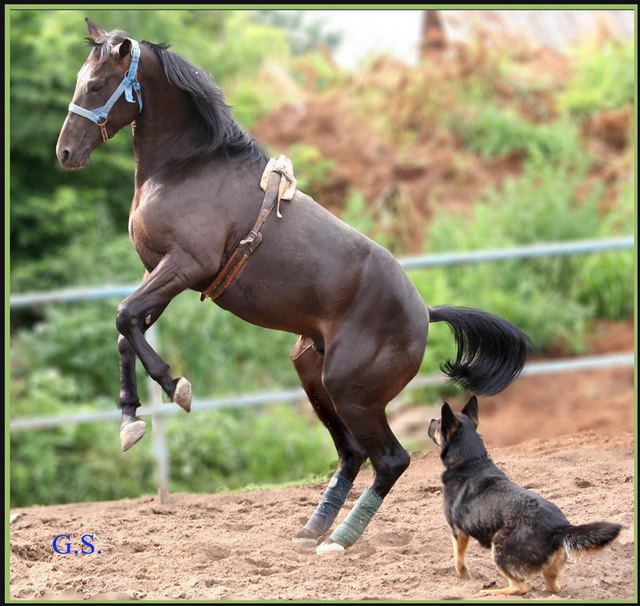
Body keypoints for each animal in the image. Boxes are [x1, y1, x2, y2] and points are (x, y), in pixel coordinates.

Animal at [56, 21, 528, 556]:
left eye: (96, 86)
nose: (66, 152)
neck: (188, 166)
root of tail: (423, 311)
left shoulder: (184, 266)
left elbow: (124, 317)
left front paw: (177, 387)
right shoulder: (158, 273)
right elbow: (126, 327)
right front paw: (131, 421)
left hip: (351, 389)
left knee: (389, 459)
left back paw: (339, 538)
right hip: (313, 375)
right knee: (351, 453)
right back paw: (313, 528)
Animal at [428, 400, 624, 600]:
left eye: (438, 423)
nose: (431, 420)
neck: (471, 459)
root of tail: (559, 528)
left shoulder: (457, 531)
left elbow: (458, 560)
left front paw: (463, 577)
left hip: (499, 545)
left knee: (519, 587)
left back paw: (491, 591)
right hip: (549, 570)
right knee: (553, 588)